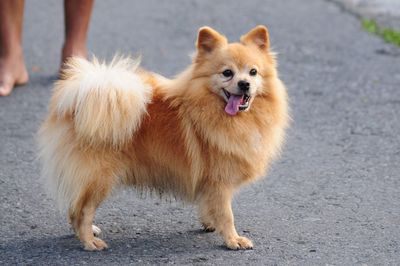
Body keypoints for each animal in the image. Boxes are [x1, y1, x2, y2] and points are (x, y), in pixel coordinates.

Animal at [38, 25, 288, 251]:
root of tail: (75, 102)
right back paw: (89, 242)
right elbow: (227, 214)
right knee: (82, 210)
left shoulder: (209, 183)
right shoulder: (219, 181)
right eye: (227, 73)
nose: (244, 84)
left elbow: (209, 206)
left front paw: (210, 224)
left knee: (74, 208)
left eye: (253, 72)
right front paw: (233, 240)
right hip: (99, 177)